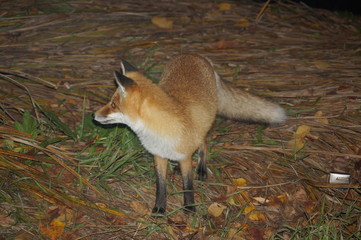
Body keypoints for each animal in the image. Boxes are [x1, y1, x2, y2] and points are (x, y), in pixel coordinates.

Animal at [94, 54, 286, 216]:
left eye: (113, 105)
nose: (93, 115)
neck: (159, 131)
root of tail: (193, 55)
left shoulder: (185, 157)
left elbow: (188, 185)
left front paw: (189, 208)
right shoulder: (158, 156)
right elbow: (161, 186)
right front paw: (160, 208)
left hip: (206, 122)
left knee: (203, 143)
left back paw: (201, 167)